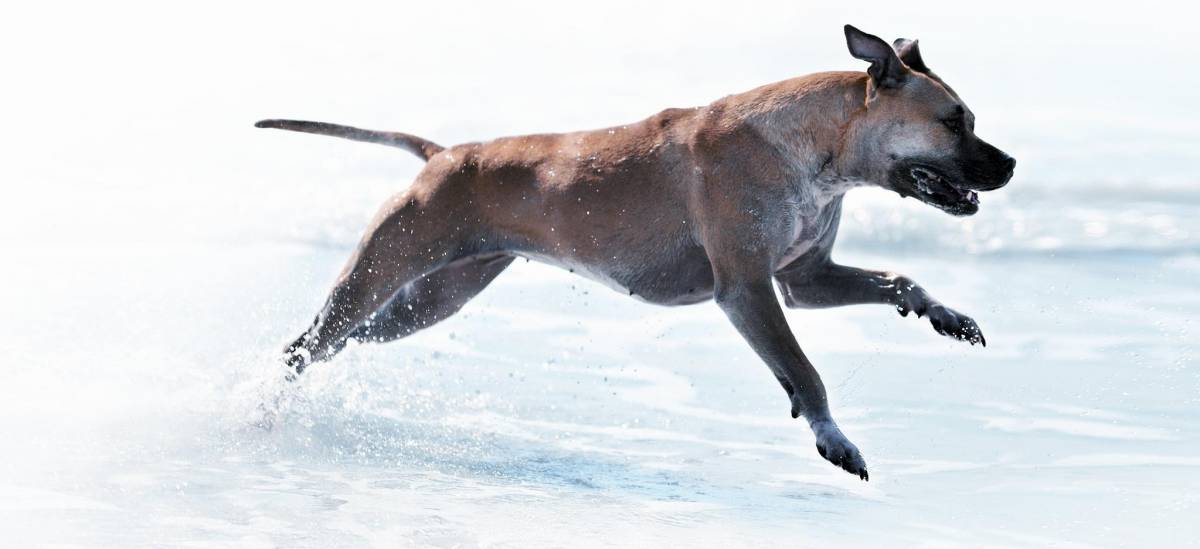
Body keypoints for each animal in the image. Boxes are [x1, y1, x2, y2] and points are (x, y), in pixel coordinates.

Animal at [255, 24, 1012, 479]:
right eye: (954, 122)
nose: (1008, 165)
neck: (810, 145)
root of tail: (443, 154)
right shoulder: (748, 290)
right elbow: (804, 369)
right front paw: (834, 435)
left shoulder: (807, 278)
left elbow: (898, 280)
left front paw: (942, 313)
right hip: (384, 268)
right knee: (305, 340)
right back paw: (263, 409)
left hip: (431, 299)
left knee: (339, 342)